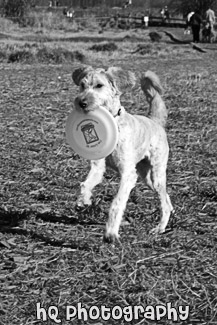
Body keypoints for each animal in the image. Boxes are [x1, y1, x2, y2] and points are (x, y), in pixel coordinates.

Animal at [72, 66, 174, 242]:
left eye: (99, 85)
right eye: (82, 86)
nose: (81, 103)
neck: (115, 123)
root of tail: (155, 121)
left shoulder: (128, 174)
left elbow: (117, 202)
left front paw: (111, 233)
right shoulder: (98, 167)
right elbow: (86, 184)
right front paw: (83, 200)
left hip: (157, 174)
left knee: (164, 202)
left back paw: (160, 228)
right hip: (147, 177)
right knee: (166, 197)